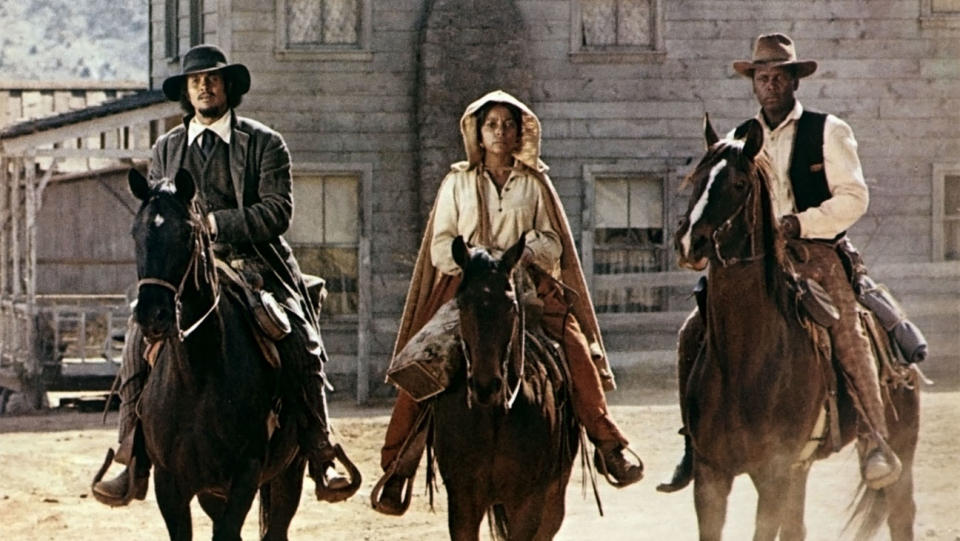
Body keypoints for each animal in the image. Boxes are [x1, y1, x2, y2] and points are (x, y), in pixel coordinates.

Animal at [432, 236, 580, 540]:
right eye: (462, 304)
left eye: (511, 305)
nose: (486, 386)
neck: (492, 417)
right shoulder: (462, 501)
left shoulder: (528, 502)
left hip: (553, 499)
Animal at [672, 118, 920, 540]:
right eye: (697, 178)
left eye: (739, 183)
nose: (690, 241)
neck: (744, 362)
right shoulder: (711, 476)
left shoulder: (772, 473)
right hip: (798, 469)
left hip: (900, 446)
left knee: (901, 514)